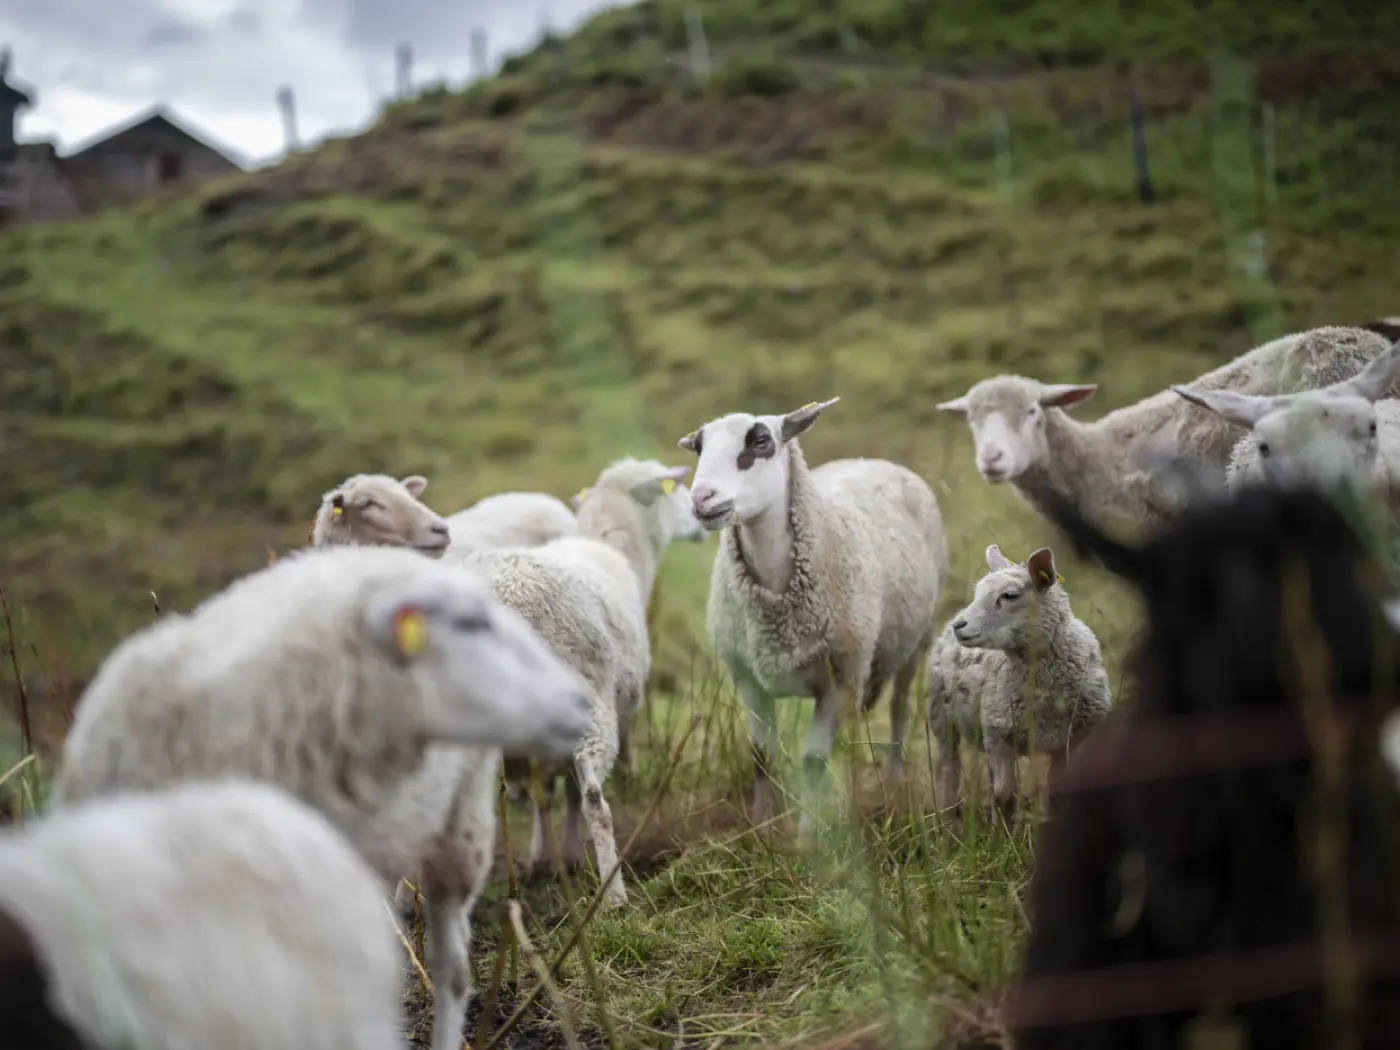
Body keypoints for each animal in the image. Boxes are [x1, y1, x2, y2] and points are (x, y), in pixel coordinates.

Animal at [460, 457, 704, 906]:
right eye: (674, 489)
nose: (701, 519)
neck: (614, 548)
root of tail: (504, 603)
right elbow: (571, 794)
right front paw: (566, 858)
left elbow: (545, 793)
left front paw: (543, 860)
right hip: (586, 709)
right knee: (595, 802)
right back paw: (614, 896)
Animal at [677, 397, 949, 836]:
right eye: (699, 448)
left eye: (761, 441)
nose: (701, 499)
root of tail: (875, 461)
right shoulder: (748, 678)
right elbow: (762, 756)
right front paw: (763, 829)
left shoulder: (840, 679)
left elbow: (813, 762)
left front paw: (807, 838)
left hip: (918, 640)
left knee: (900, 710)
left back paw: (893, 785)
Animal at [925, 543, 1112, 819]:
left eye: (1010, 595)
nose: (960, 625)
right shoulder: (999, 733)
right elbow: (1005, 794)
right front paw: (1001, 828)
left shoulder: (1069, 742)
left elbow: (1057, 791)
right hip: (945, 718)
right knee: (948, 769)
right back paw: (947, 822)